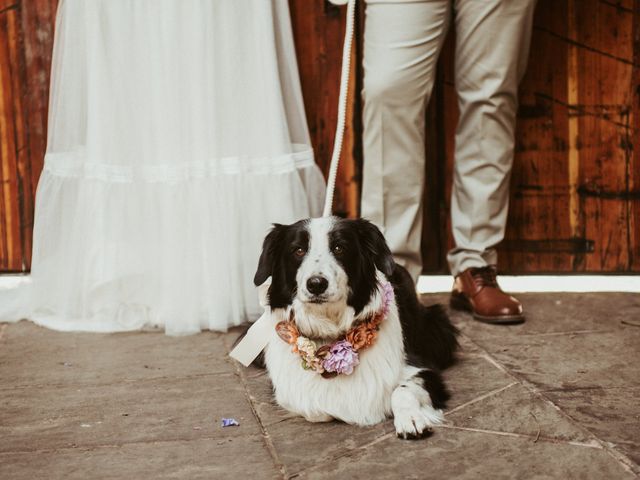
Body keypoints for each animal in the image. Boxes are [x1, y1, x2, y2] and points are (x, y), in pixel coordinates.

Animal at [252, 218, 458, 438]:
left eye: (339, 248)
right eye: (298, 250)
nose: (316, 284)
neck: (330, 329)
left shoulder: (421, 369)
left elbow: (401, 390)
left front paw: (410, 419)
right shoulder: (289, 392)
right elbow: (316, 408)